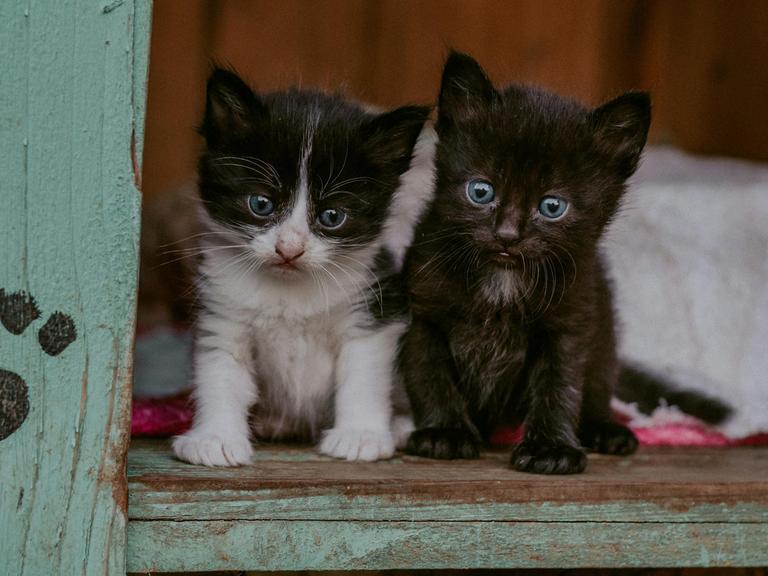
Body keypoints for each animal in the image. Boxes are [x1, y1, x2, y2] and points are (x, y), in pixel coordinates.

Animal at [170, 70, 428, 466]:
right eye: (260, 204)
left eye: (332, 216)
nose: (289, 248)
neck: (288, 289)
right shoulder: (223, 314)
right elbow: (220, 374)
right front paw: (214, 437)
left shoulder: (373, 306)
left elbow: (363, 375)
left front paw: (360, 434)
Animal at [400, 51, 652, 474]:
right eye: (480, 191)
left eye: (552, 206)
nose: (507, 234)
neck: (503, 279)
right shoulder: (424, 313)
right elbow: (428, 373)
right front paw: (444, 432)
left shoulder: (570, 322)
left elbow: (559, 385)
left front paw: (551, 448)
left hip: (604, 333)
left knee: (598, 383)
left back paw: (604, 429)